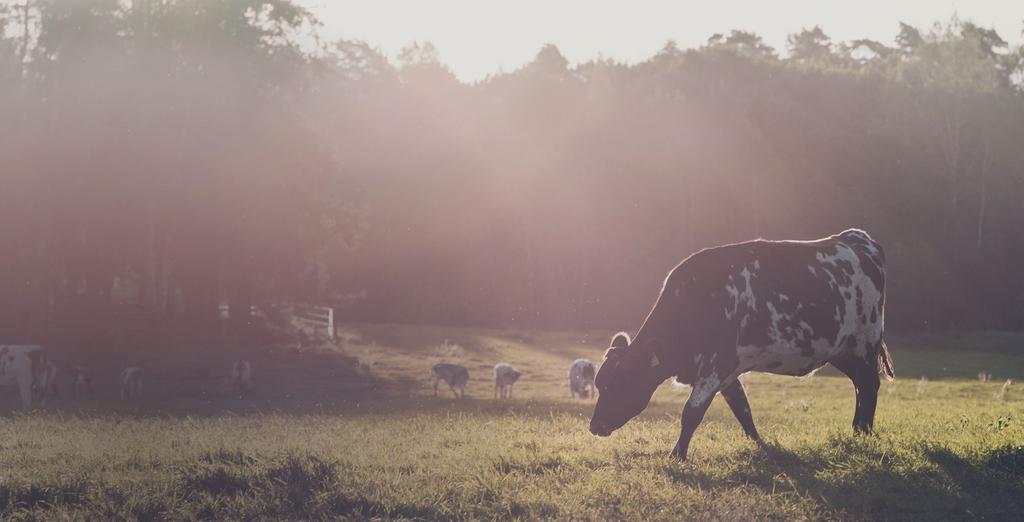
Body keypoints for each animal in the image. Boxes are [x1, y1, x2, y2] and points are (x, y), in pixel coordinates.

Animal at [589, 228, 892, 460]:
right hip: (843, 351)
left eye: (618, 384)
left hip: (864, 343)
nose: (594, 426)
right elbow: (742, 408)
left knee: (868, 385)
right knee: (861, 386)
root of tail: (855, 238)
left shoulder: (715, 366)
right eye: (599, 384)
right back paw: (859, 431)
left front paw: (677, 454)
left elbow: (691, 412)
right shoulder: (726, 372)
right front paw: (758, 443)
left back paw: (862, 432)